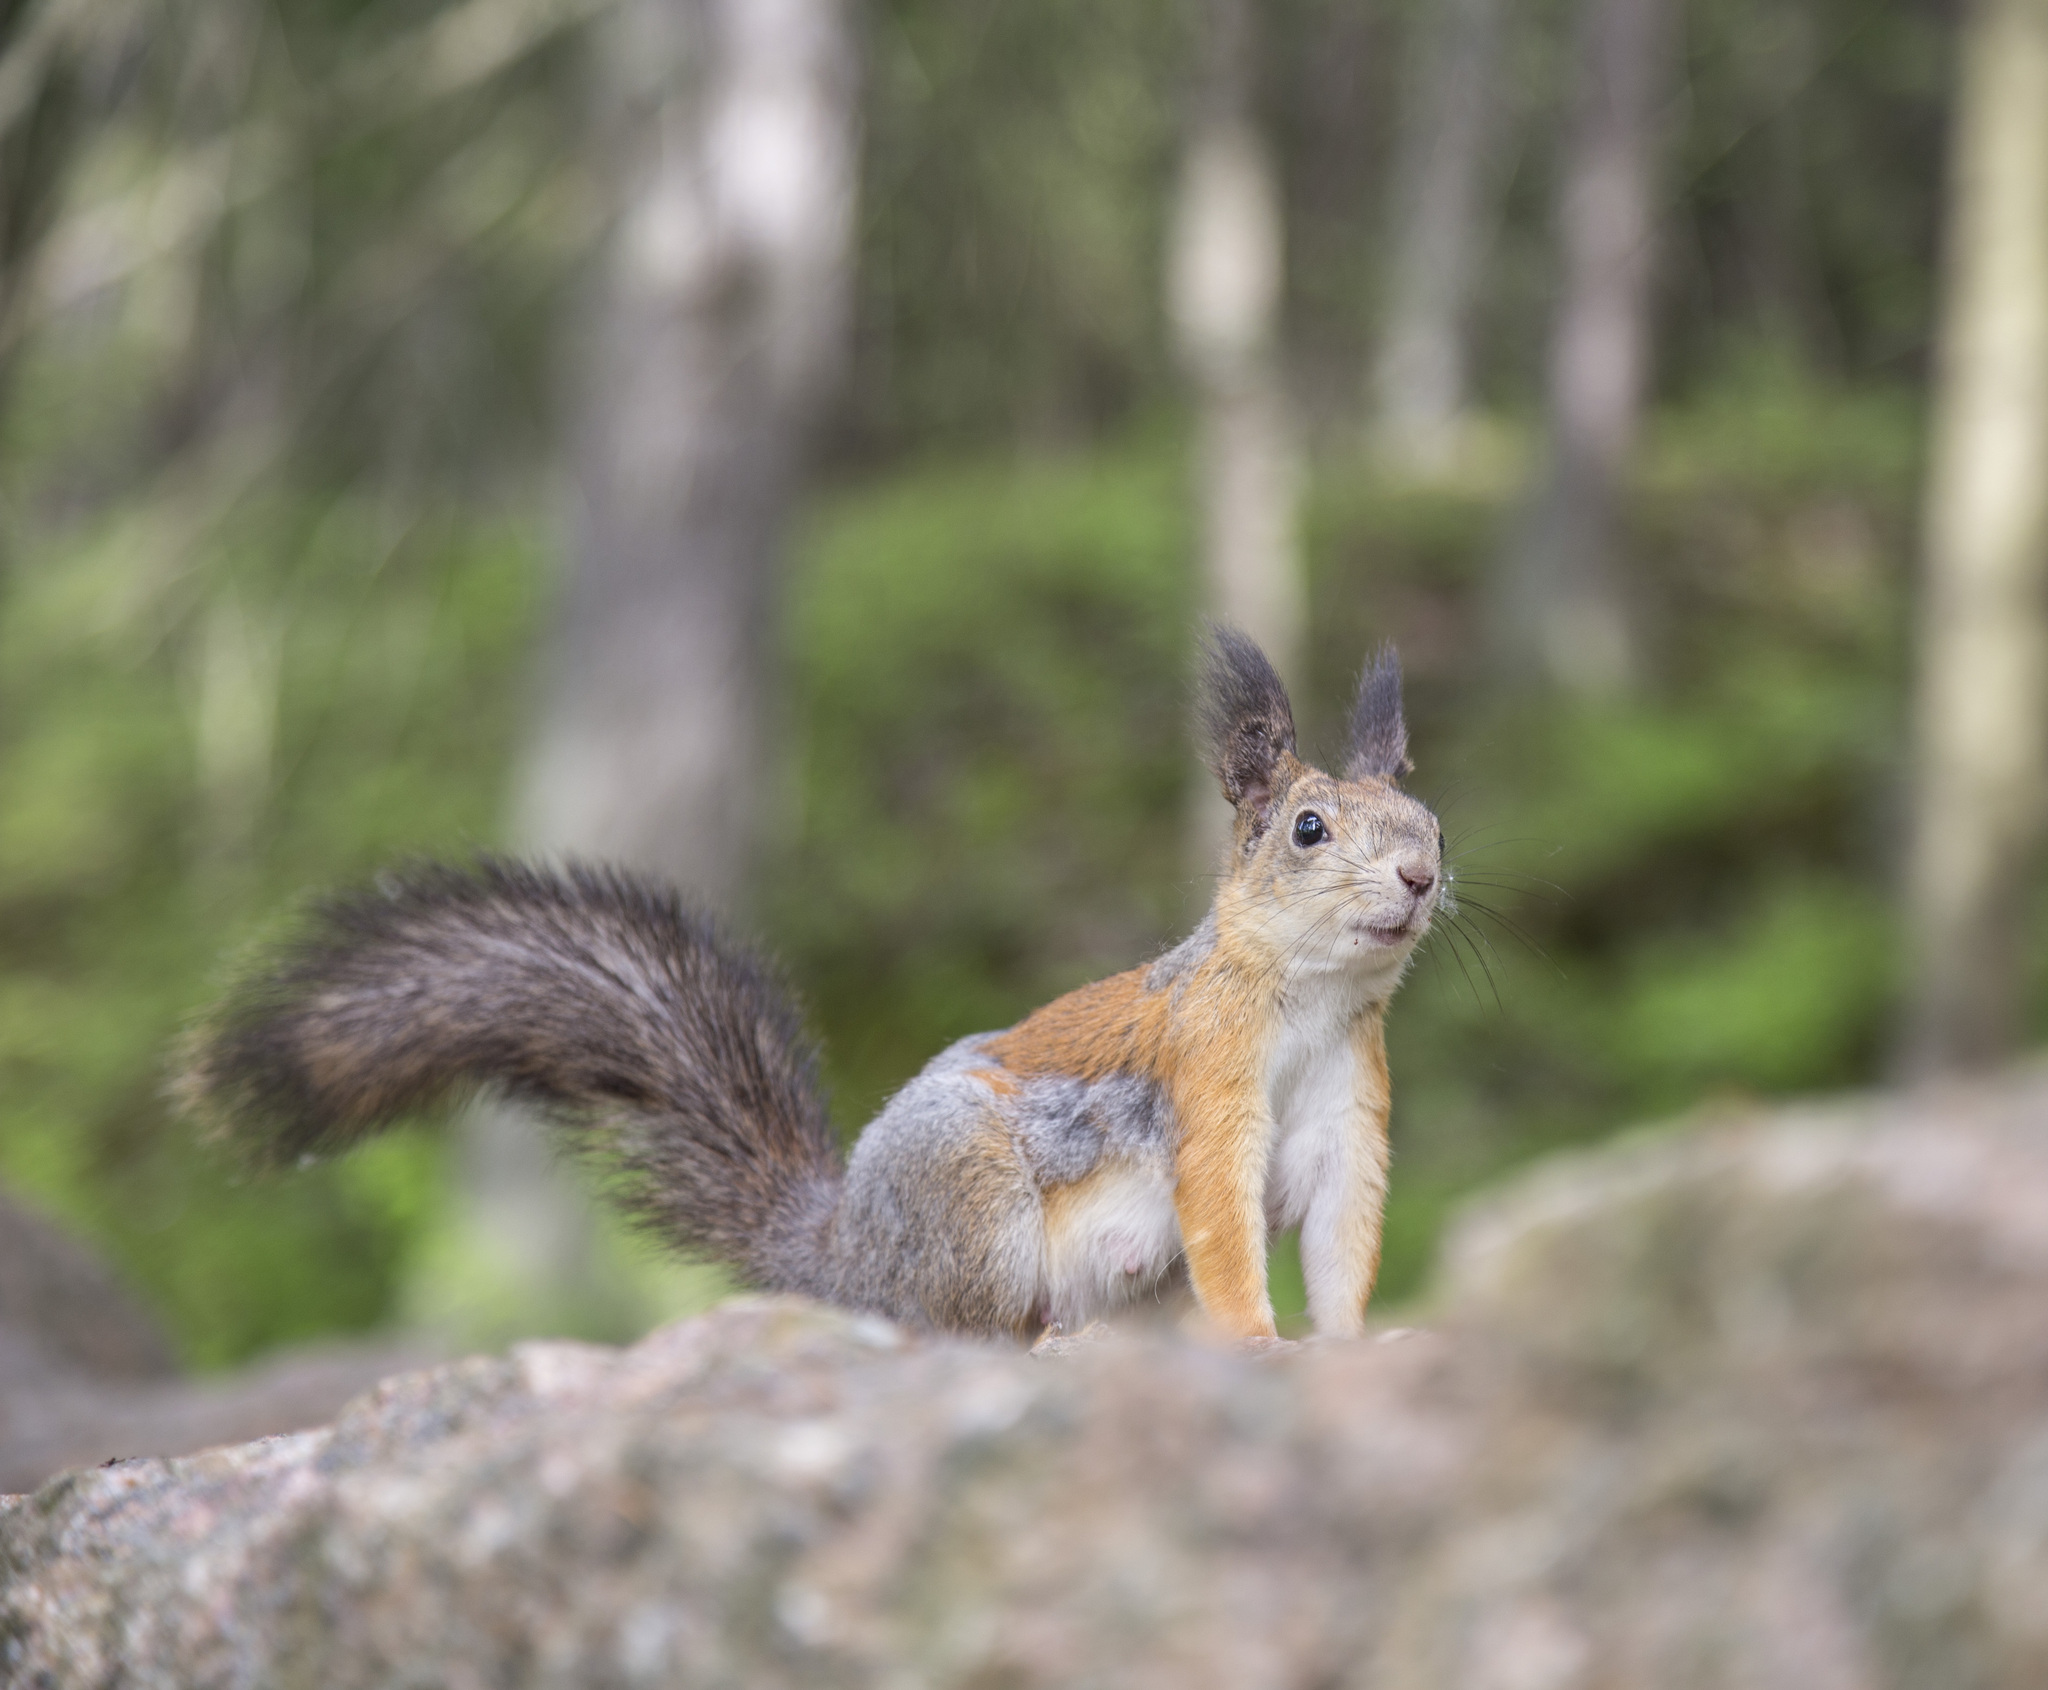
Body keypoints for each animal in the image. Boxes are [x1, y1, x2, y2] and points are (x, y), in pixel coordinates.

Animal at [184, 626, 1449, 1335]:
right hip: (976, 1211)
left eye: (1430, 818)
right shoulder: (1206, 1090)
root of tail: (841, 1250)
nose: (1422, 875)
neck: (1306, 1003)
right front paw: (1256, 1347)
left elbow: (1342, 1244)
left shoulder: (1351, 1125)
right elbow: (1227, 1239)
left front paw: (1348, 1345)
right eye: (1306, 828)